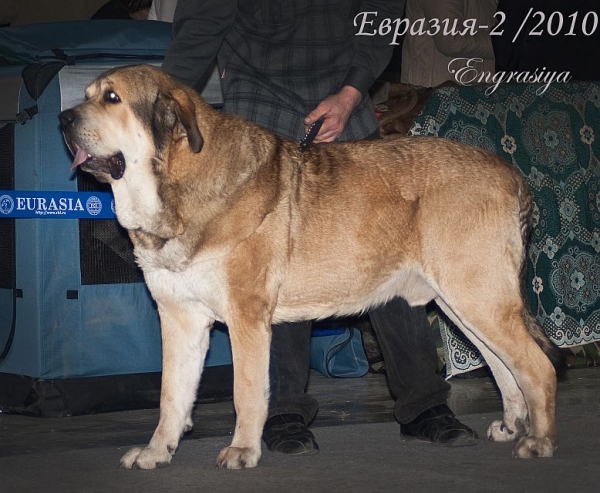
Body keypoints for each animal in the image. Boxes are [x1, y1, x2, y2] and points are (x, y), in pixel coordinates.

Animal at [58, 64, 560, 468]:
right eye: (87, 94)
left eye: (112, 98)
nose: (62, 119)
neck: (176, 186)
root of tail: (510, 173)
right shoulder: (181, 319)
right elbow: (171, 396)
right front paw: (157, 452)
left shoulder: (246, 317)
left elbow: (246, 392)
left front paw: (243, 451)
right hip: (464, 304)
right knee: (505, 369)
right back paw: (512, 427)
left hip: (479, 299)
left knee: (538, 369)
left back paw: (539, 442)